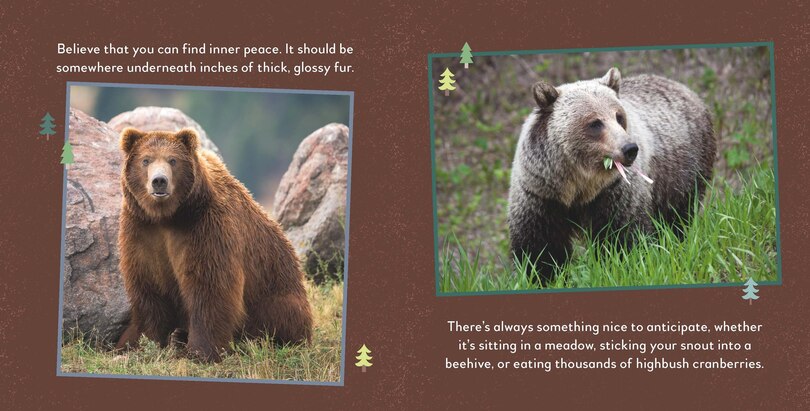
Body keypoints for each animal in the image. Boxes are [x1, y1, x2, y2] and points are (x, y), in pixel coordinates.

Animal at [114, 127, 313, 362]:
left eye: (173, 160)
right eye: (146, 160)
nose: (159, 181)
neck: (169, 217)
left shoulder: (206, 228)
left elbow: (210, 287)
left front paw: (201, 351)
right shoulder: (142, 231)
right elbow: (148, 285)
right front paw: (144, 342)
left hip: (275, 292)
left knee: (279, 314)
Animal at [508, 67, 716, 284]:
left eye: (618, 116)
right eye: (595, 123)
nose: (630, 148)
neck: (577, 184)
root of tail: (682, 87)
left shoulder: (614, 191)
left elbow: (621, 237)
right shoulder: (541, 194)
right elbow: (540, 248)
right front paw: (541, 277)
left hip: (682, 171)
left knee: (678, 215)